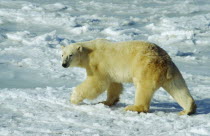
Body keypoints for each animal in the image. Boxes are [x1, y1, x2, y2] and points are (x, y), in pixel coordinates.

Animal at [61, 39, 197, 115]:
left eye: (70, 55)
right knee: (177, 86)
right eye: (62, 54)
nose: (63, 64)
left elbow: (96, 83)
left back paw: (133, 107)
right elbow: (114, 84)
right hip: (171, 71)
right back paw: (188, 109)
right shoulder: (111, 70)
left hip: (145, 68)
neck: (89, 52)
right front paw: (106, 101)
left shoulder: (98, 64)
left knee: (143, 88)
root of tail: (164, 60)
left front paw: (73, 98)